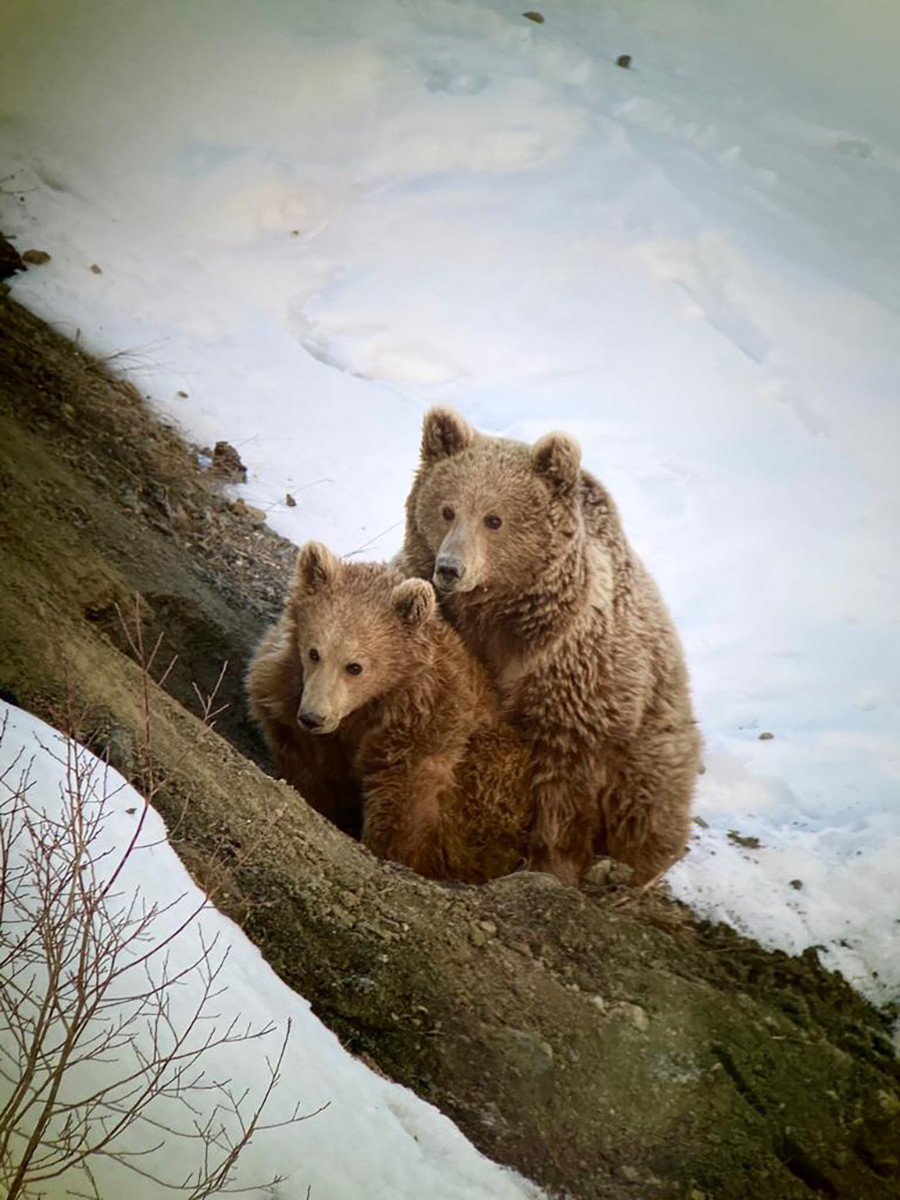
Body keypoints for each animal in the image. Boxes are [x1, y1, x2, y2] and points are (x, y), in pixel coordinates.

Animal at [247, 541, 534, 882]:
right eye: (314, 652)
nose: (314, 717)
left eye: (355, 666)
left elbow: (402, 806)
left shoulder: (425, 725)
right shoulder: (290, 692)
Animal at [397, 406, 702, 887]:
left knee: (646, 807)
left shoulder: (575, 681)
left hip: (655, 736)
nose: (450, 568)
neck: (502, 615)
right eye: (446, 509)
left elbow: (562, 793)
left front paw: (549, 865)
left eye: (494, 519)